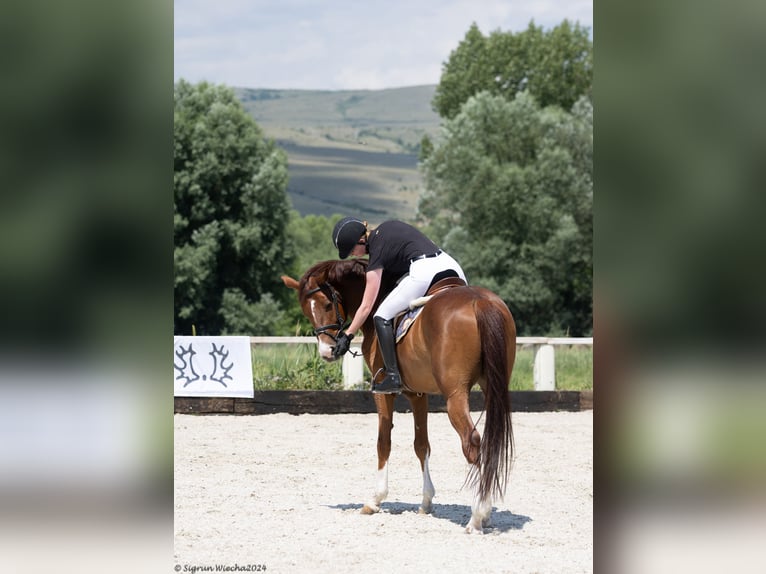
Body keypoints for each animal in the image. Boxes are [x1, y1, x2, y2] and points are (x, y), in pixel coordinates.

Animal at [282, 258, 516, 532]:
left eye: (328, 304)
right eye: (306, 311)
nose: (327, 351)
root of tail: (480, 301)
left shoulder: (385, 394)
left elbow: (383, 442)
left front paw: (375, 500)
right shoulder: (418, 394)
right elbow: (421, 445)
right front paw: (426, 502)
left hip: (455, 396)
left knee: (472, 442)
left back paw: (477, 516)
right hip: (493, 388)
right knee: (489, 441)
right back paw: (486, 510)